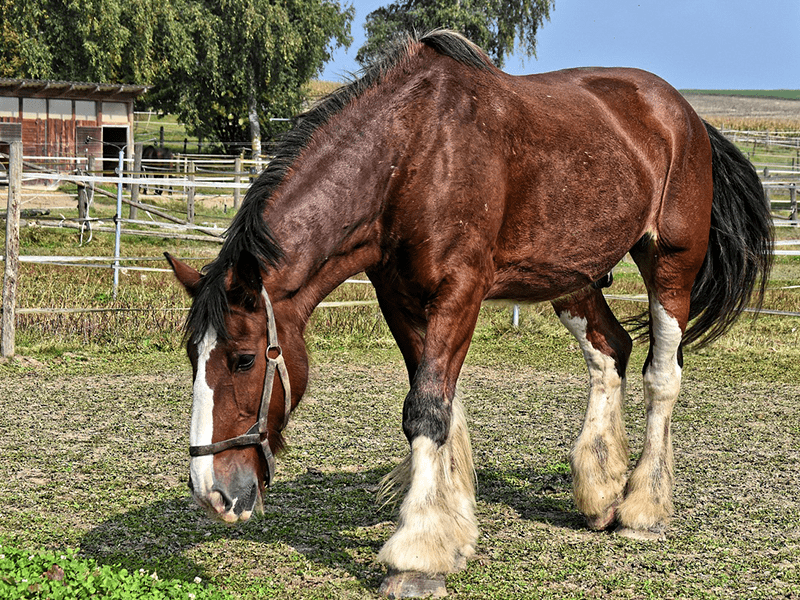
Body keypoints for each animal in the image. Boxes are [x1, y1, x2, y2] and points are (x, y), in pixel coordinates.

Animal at [165, 30, 773, 597]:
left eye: (244, 360)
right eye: (192, 356)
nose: (211, 492)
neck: (410, 156)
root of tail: (686, 115)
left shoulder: (460, 292)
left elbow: (427, 410)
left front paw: (415, 555)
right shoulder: (401, 300)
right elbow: (441, 404)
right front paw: (450, 531)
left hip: (671, 264)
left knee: (660, 377)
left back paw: (643, 507)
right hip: (572, 277)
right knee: (610, 352)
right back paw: (601, 491)